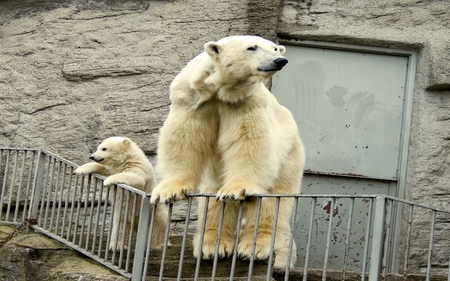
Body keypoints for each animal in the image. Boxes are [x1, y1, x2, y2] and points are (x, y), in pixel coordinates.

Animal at [152, 35, 306, 266]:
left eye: (275, 49)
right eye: (251, 47)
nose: (280, 60)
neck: (218, 90)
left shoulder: (246, 102)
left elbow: (249, 143)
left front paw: (236, 190)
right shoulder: (191, 99)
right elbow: (184, 139)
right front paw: (169, 191)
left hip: (289, 157)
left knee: (272, 202)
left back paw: (254, 248)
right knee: (213, 202)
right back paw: (212, 246)